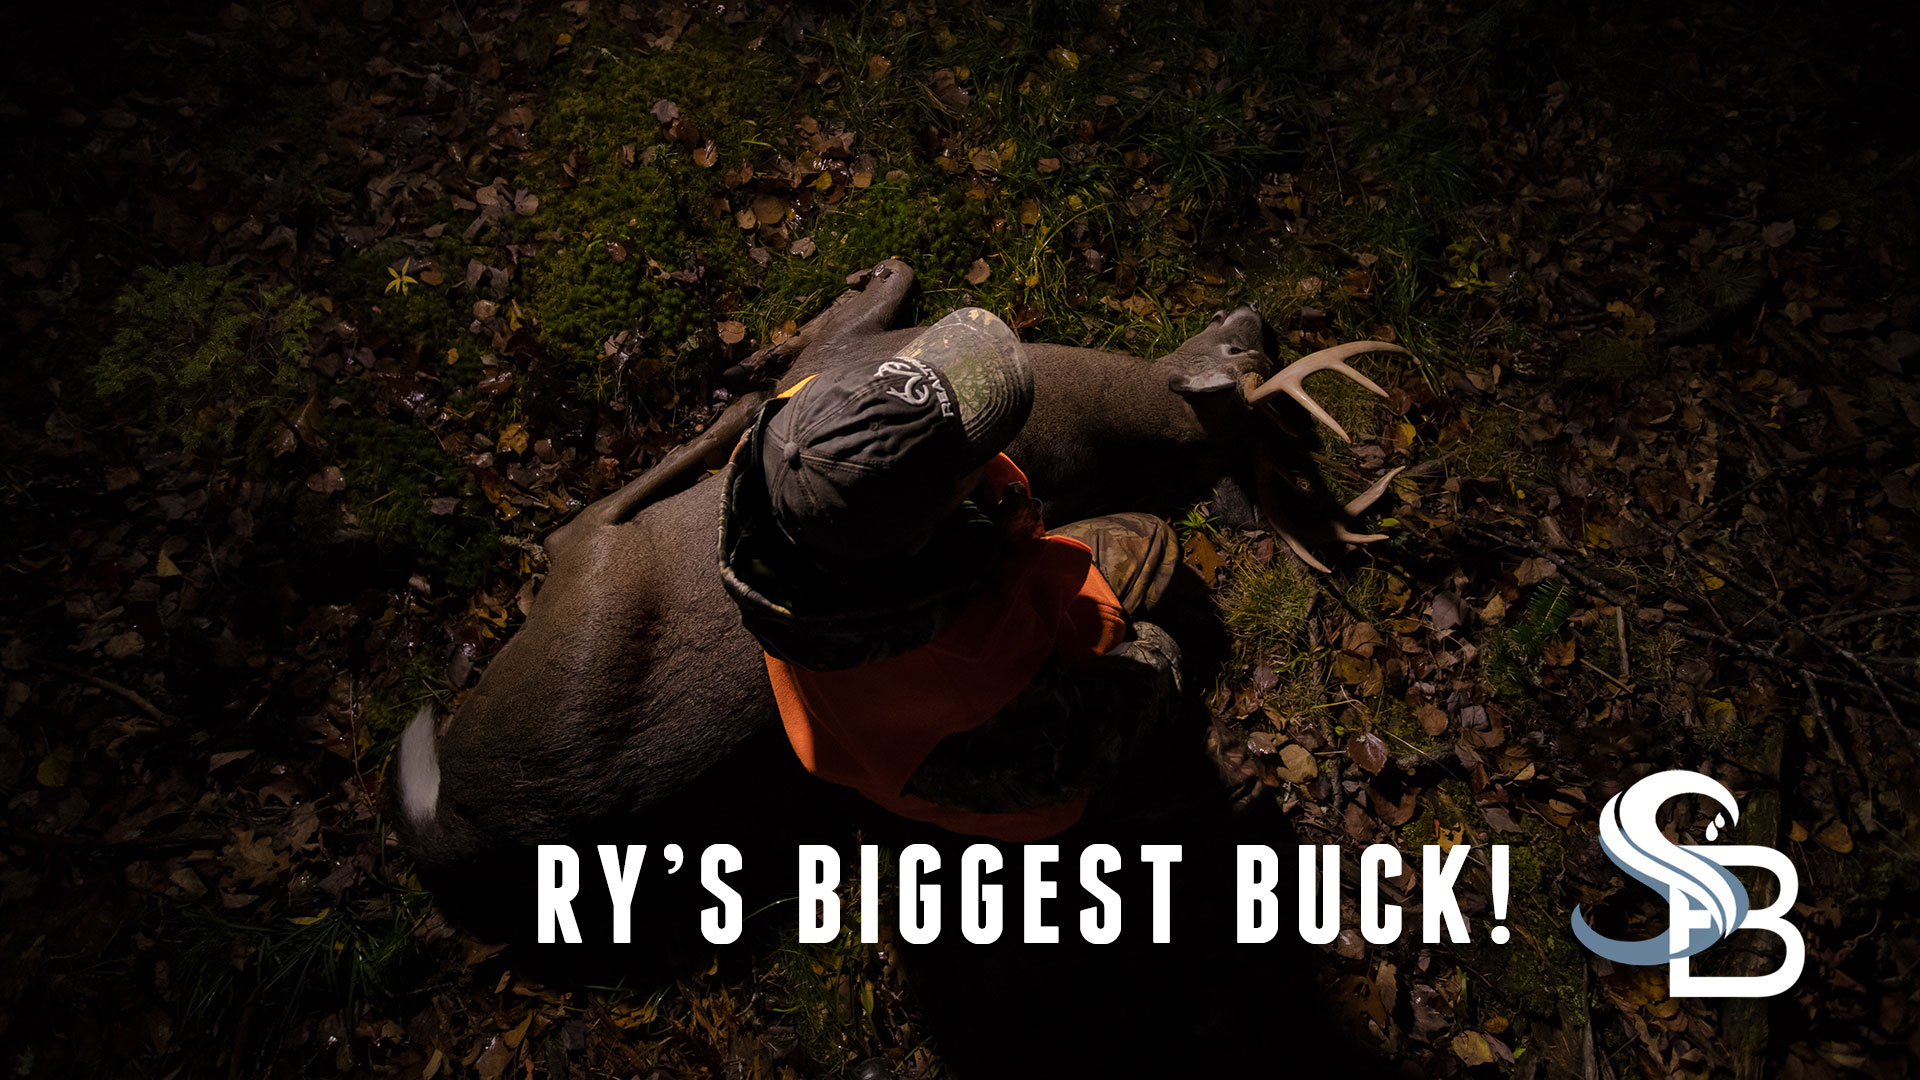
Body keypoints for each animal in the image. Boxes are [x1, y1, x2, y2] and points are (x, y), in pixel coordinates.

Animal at [393, 258, 1408, 949]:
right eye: (1244, 348)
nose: (1256, 310)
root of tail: (469, 824)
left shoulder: (858, 356)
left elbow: (856, 315)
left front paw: (803, 325)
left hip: (597, 584)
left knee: (578, 529)